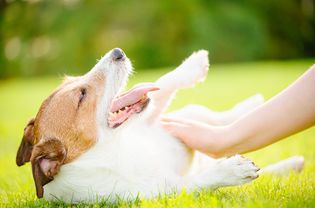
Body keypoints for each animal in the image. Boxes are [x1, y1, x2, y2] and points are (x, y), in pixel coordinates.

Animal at [16, 48, 304, 202]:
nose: (118, 52)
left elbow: (163, 83)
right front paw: (231, 170)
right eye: (82, 95)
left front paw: (193, 65)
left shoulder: (151, 120)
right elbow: (199, 181)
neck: (116, 149)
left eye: (74, 80)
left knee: (210, 116)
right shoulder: (164, 193)